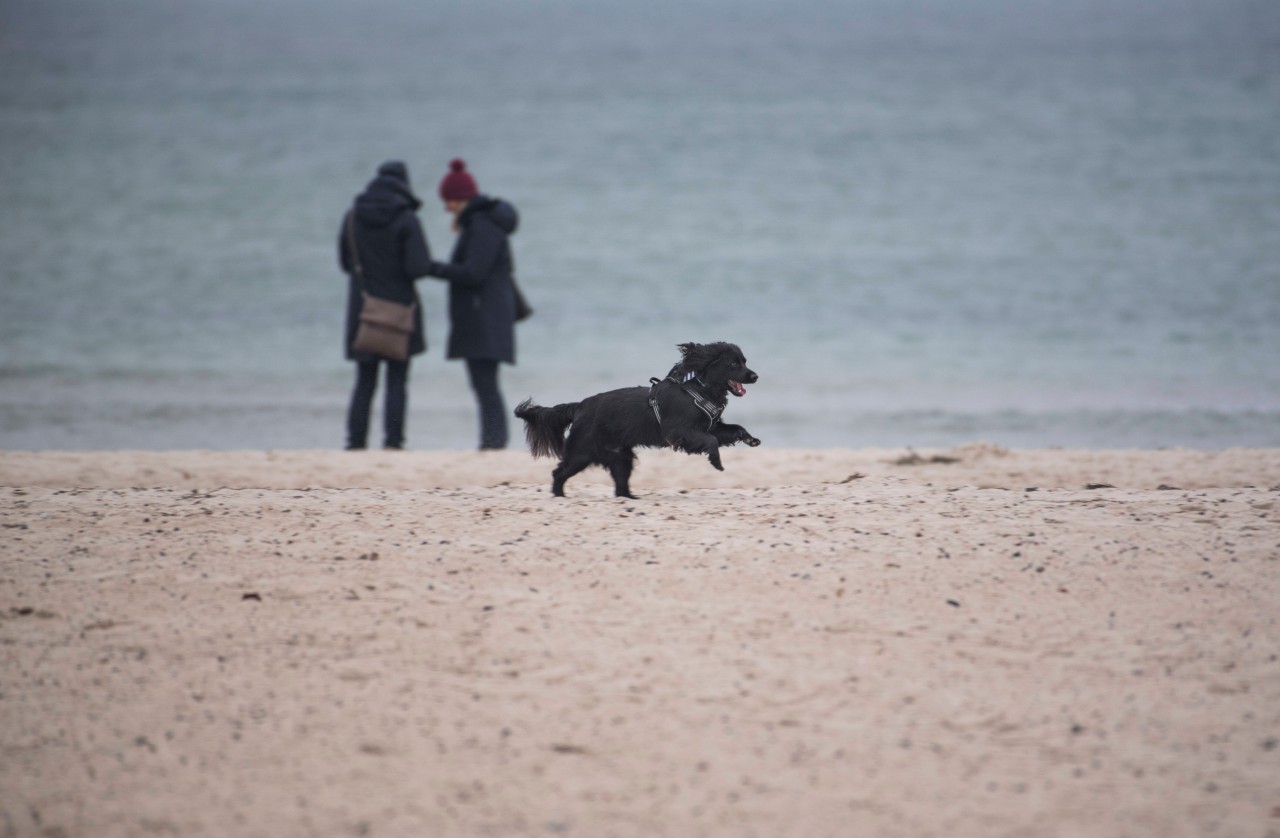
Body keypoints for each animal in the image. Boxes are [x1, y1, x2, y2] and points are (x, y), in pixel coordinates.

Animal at [512, 342, 757, 498]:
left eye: (745, 361)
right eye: (734, 364)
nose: (755, 376)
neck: (701, 390)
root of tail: (580, 405)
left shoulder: (711, 427)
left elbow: (734, 428)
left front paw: (750, 439)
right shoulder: (679, 432)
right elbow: (710, 441)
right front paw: (716, 462)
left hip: (620, 456)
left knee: (620, 485)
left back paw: (630, 499)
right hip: (581, 453)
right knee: (559, 473)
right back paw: (559, 495)